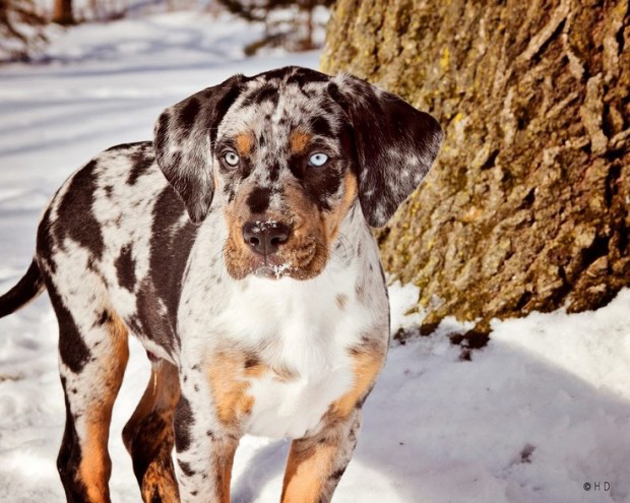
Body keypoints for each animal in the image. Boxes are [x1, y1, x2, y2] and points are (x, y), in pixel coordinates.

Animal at [0, 66, 443, 503]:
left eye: (319, 158)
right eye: (230, 157)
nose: (263, 233)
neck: (291, 302)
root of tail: (70, 183)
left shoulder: (334, 430)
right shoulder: (203, 430)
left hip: (164, 353)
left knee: (142, 433)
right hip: (92, 345)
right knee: (81, 461)